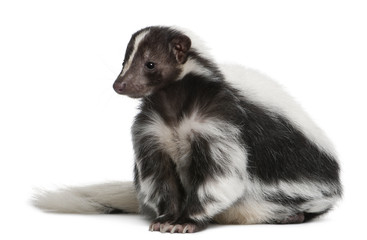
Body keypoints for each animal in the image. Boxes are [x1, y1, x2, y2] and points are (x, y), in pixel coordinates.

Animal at [33, 25, 344, 232]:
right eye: (125, 62)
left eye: (150, 64)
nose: (119, 85)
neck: (175, 110)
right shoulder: (152, 133)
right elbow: (160, 177)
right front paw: (165, 220)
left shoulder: (219, 123)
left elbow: (220, 177)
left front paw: (185, 221)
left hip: (301, 186)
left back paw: (290, 216)